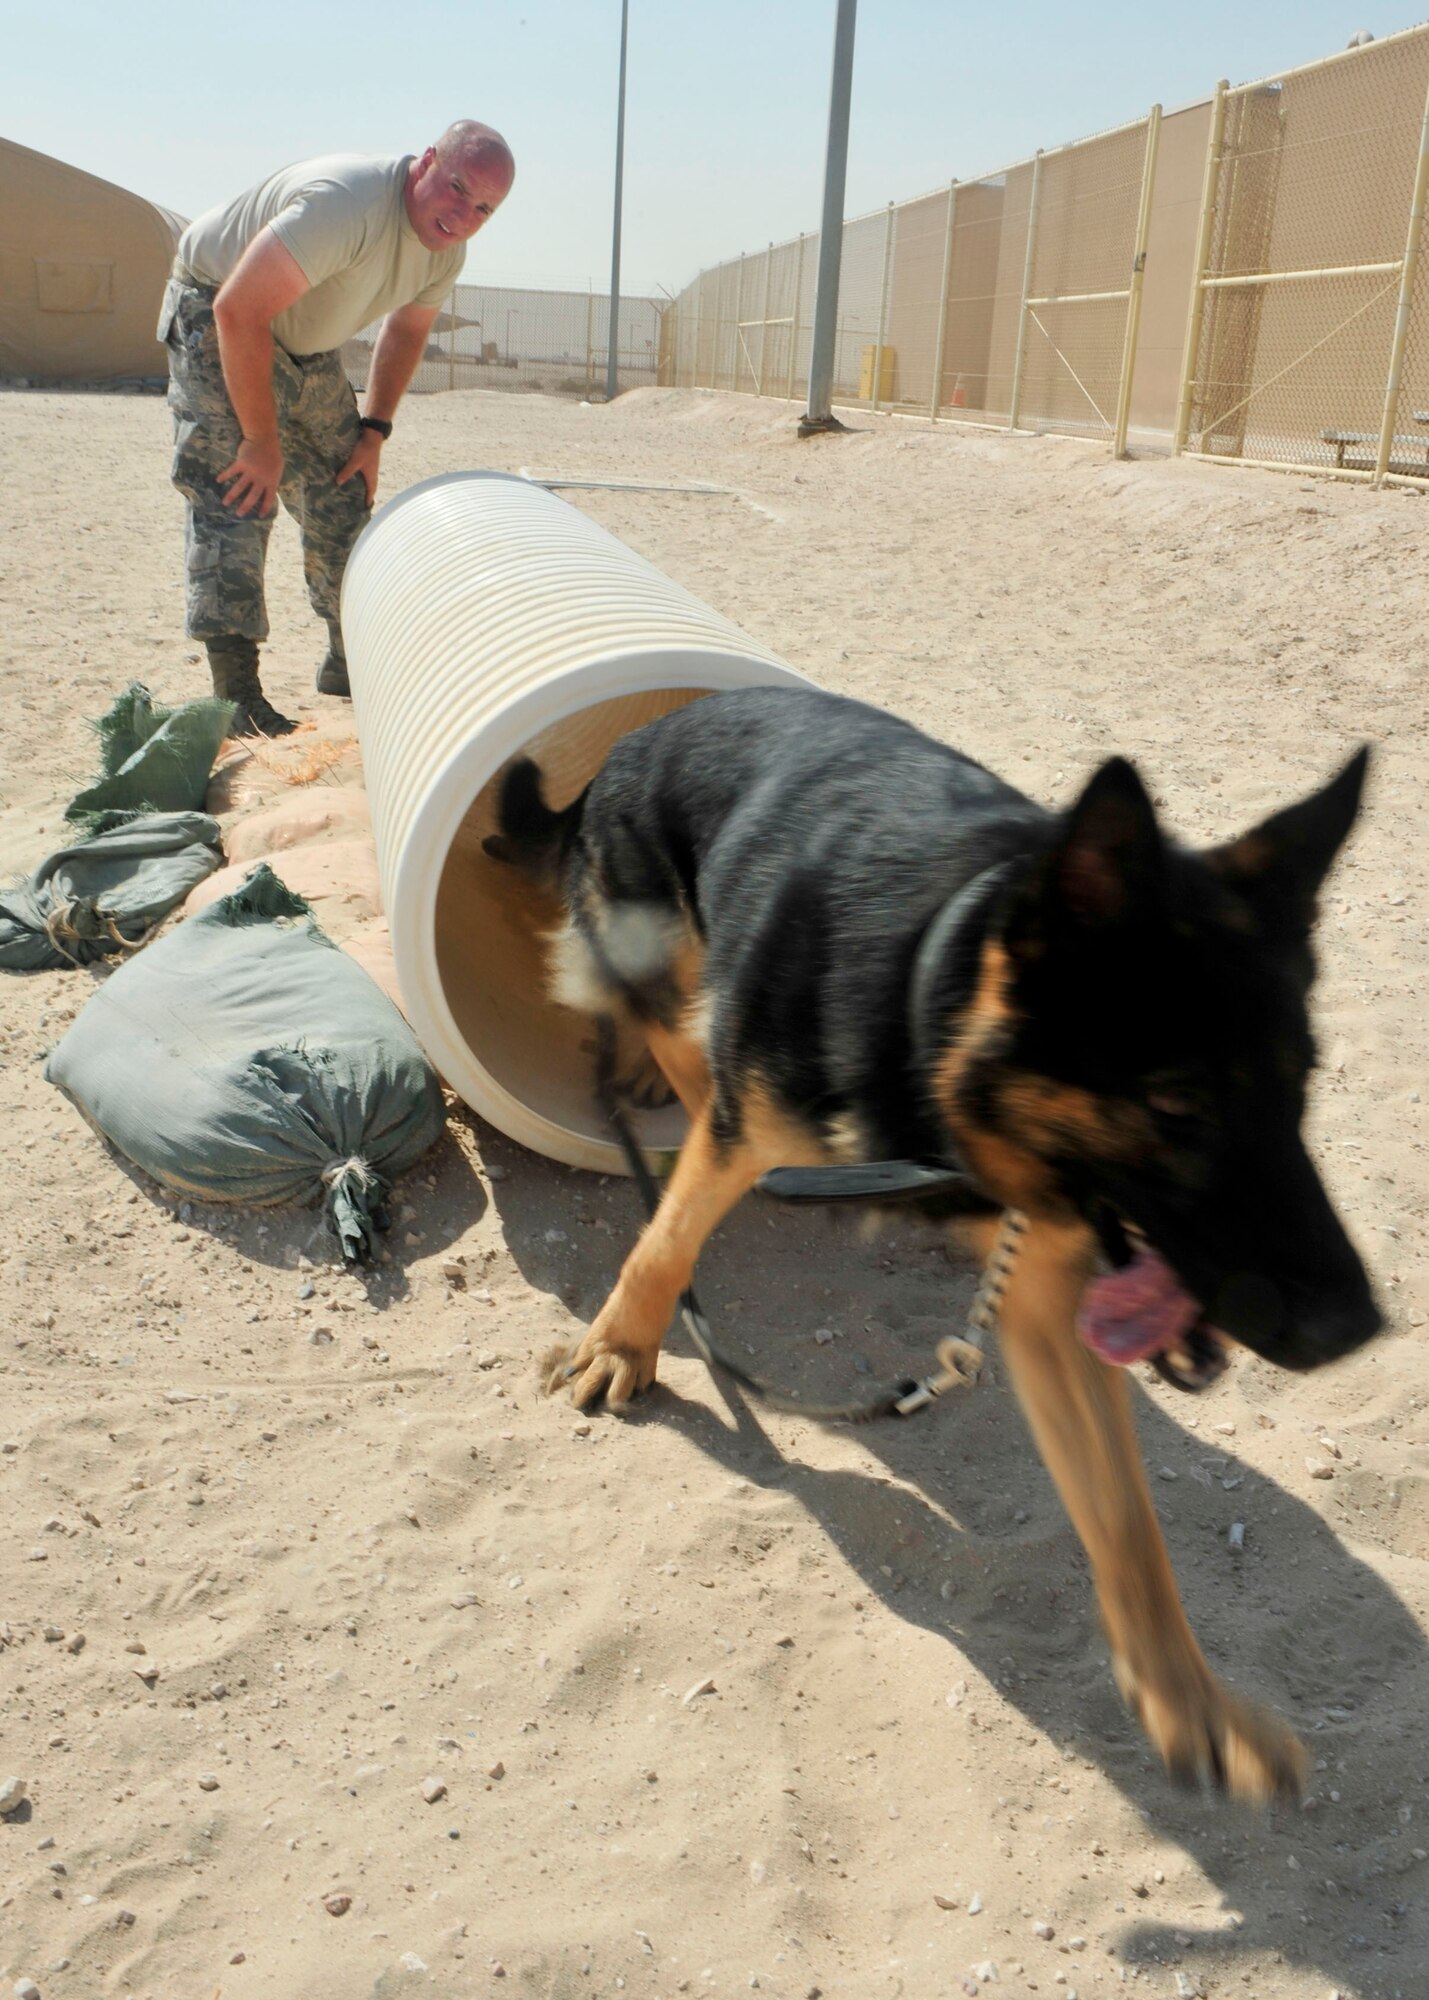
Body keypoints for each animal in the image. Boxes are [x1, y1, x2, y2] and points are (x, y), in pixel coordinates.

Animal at [484, 680, 1376, 1808]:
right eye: (1178, 1105)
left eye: (1301, 1082)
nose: (1356, 1327)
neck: (929, 985)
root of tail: (637, 739)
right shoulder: (745, 1125)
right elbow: (667, 1234)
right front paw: (621, 1342)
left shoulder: (1048, 1300)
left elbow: (1127, 1527)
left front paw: (1192, 1704)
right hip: (658, 946)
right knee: (667, 1032)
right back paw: (663, 1075)